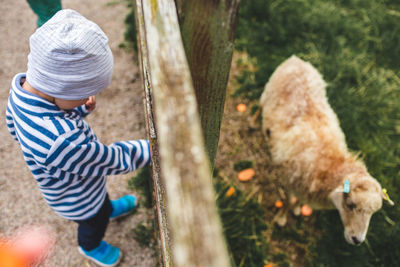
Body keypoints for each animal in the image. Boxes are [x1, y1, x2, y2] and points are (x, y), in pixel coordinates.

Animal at [258, 55, 392, 246]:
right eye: (350, 204)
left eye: (373, 212)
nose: (357, 240)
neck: (329, 163)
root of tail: (296, 59)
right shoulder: (288, 179)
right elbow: (285, 201)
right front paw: (282, 218)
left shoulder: (303, 187)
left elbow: (297, 201)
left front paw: (297, 209)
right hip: (267, 91)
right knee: (259, 106)